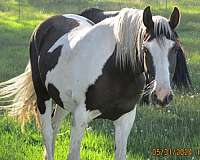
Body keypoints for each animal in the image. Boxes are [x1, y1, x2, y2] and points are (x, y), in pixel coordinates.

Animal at [0, 6, 181, 160]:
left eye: (175, 48)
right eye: (145, 49)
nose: (162, 96)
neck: (115, 70)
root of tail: (45, 25)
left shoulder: (125, 120)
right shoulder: (80, 118)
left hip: (62, 100)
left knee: (55, 125)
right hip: (43, 97)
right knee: (47, 132)